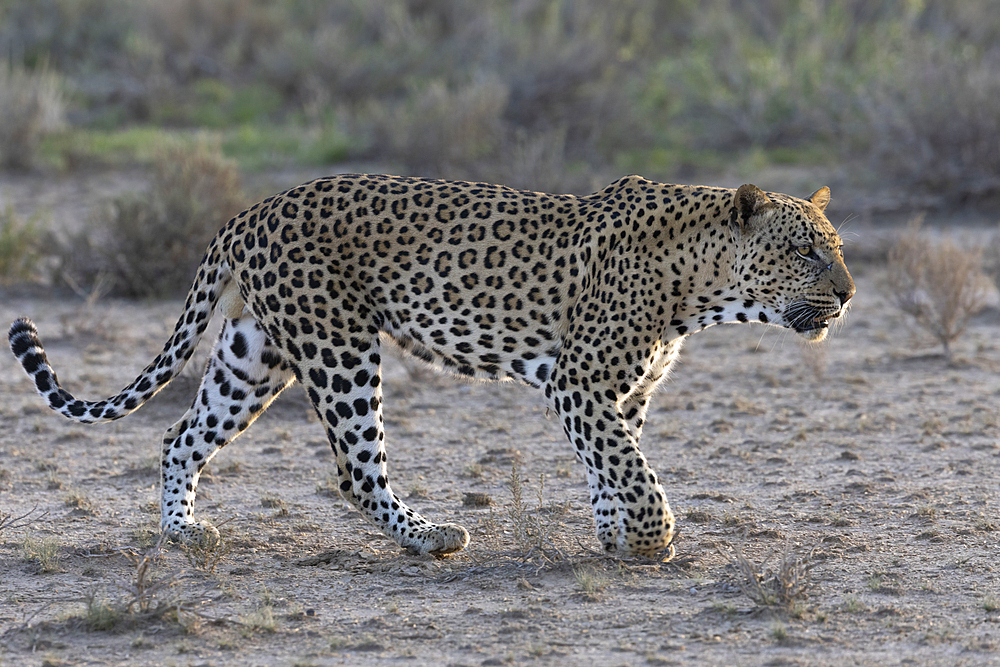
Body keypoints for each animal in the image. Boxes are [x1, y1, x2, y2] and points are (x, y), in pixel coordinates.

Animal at [5, 172, 852, 560]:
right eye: (806, 250)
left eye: (835, 247)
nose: (848, 292)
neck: (701, 283)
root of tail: (247, 211)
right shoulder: (579, 382)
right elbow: (629, 466)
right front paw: (651, 538)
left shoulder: (624, 391)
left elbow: (612, 464)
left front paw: (616, 537)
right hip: (339, 346)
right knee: (355, 469)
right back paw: (429, 536)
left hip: (254, 354)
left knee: (179, 434)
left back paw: (181, 530)